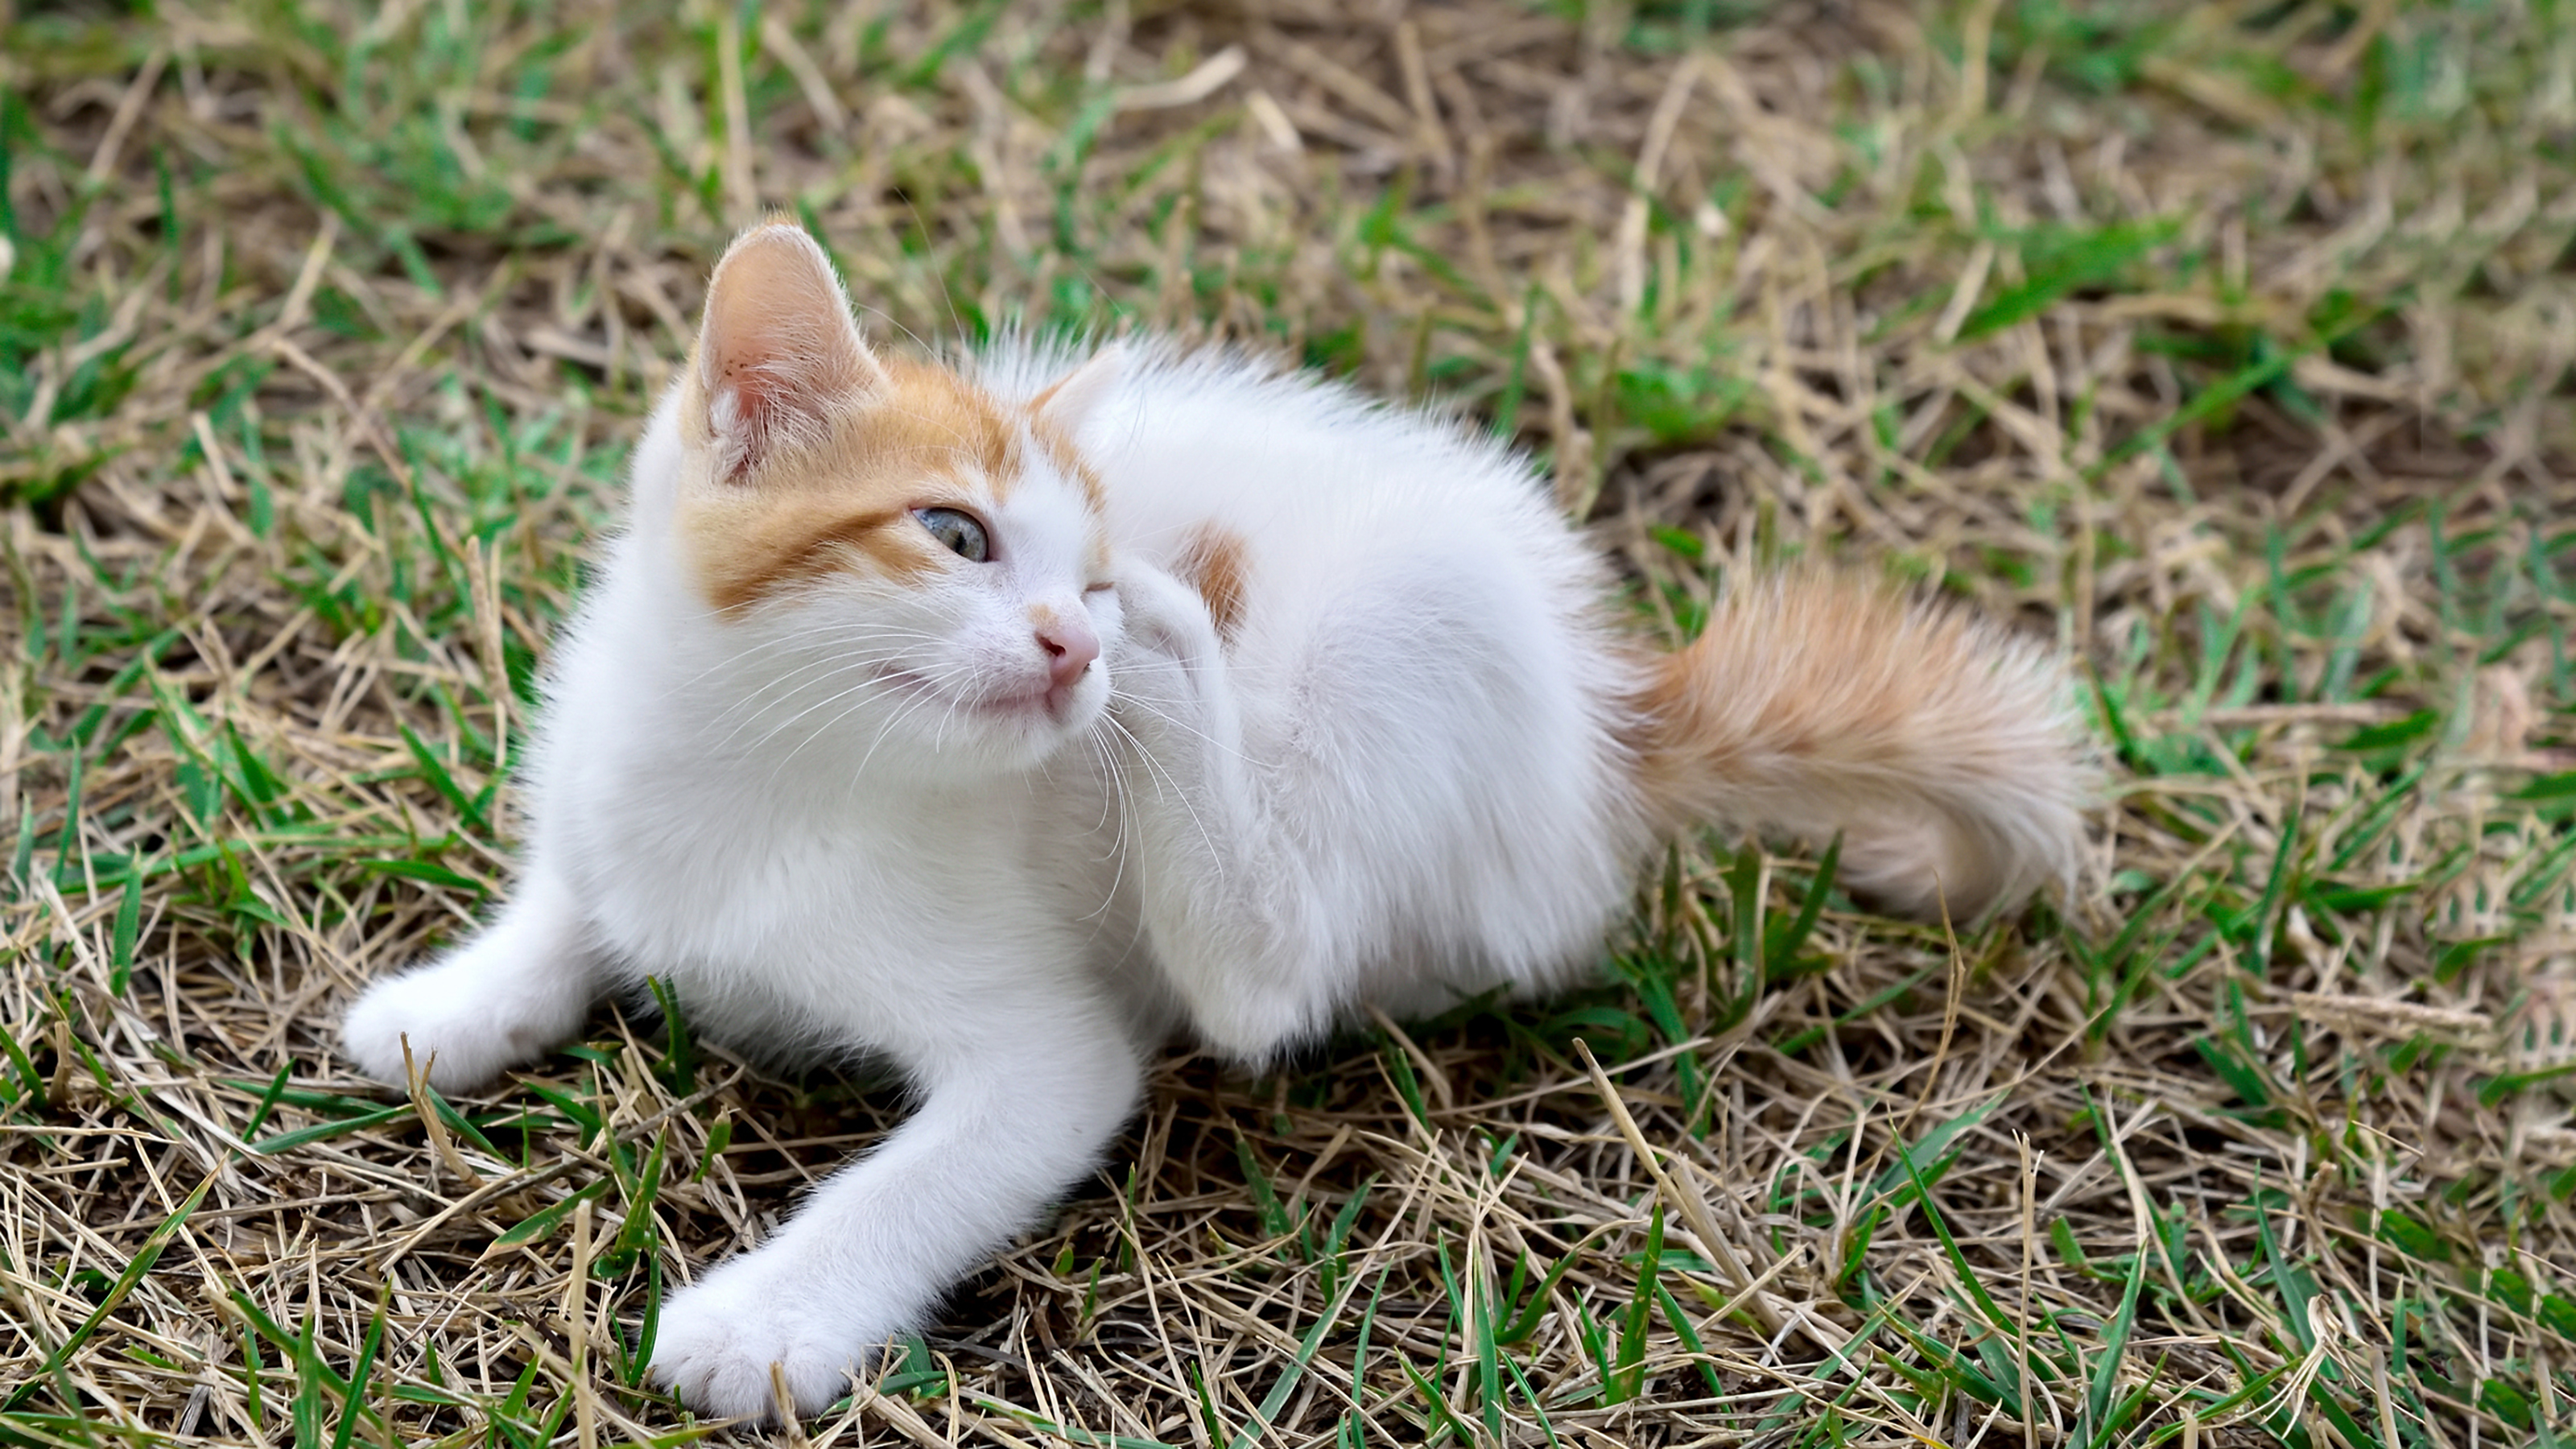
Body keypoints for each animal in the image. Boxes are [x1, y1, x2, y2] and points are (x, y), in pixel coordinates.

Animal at [342, 223, 2091, 1413]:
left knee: (1264, 974)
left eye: (1083, 565)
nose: (1084, 635)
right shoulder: (607, 791)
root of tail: (1606, 723)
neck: (769, 771)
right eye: (955, 534)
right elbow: (569, 900)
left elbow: (941, 1168)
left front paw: (769, 1320)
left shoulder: (1046, 1056)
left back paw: (1190, 670)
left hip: (1383, 664)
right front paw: (454, 1004)